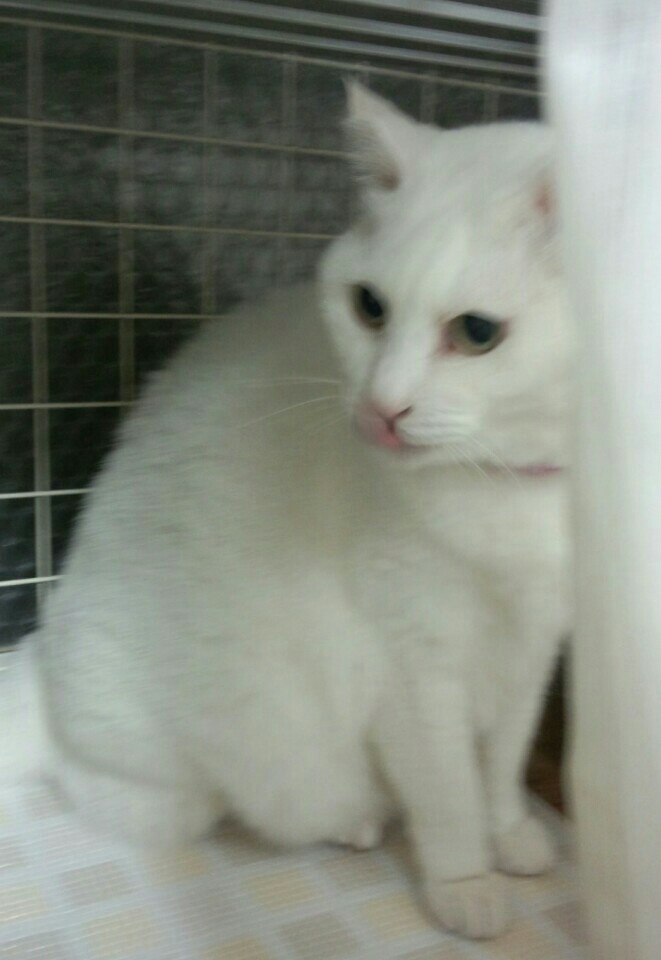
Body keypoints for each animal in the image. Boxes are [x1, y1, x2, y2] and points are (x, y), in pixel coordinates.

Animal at [0, 82, 572, 940]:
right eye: (369, 306)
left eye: (476, 333)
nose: (379, 410)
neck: (514, 485)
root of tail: (37, 665)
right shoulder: (414, 662)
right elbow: (447, 789)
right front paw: (464, 879)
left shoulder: (532, 645)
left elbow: (501, 762)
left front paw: (508, 833)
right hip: (181, 768)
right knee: (128, 791)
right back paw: (354, 820)